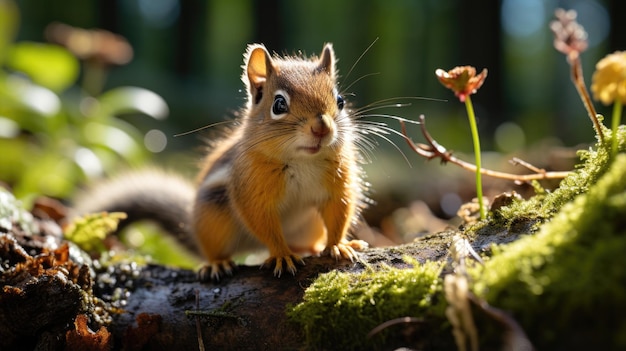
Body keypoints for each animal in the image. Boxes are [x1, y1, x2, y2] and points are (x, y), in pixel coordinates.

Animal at [74, 43, 366, 280]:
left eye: (340, 100)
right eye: (279, 105)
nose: (321, 128)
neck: (303, 159)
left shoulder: (337, 184)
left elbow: (339, 213)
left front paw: (338, 244)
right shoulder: (252, 191)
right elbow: (264, 223)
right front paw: (281, 255)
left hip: (308, 227)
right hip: (213, 220)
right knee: (215, 250)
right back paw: (218, 263)